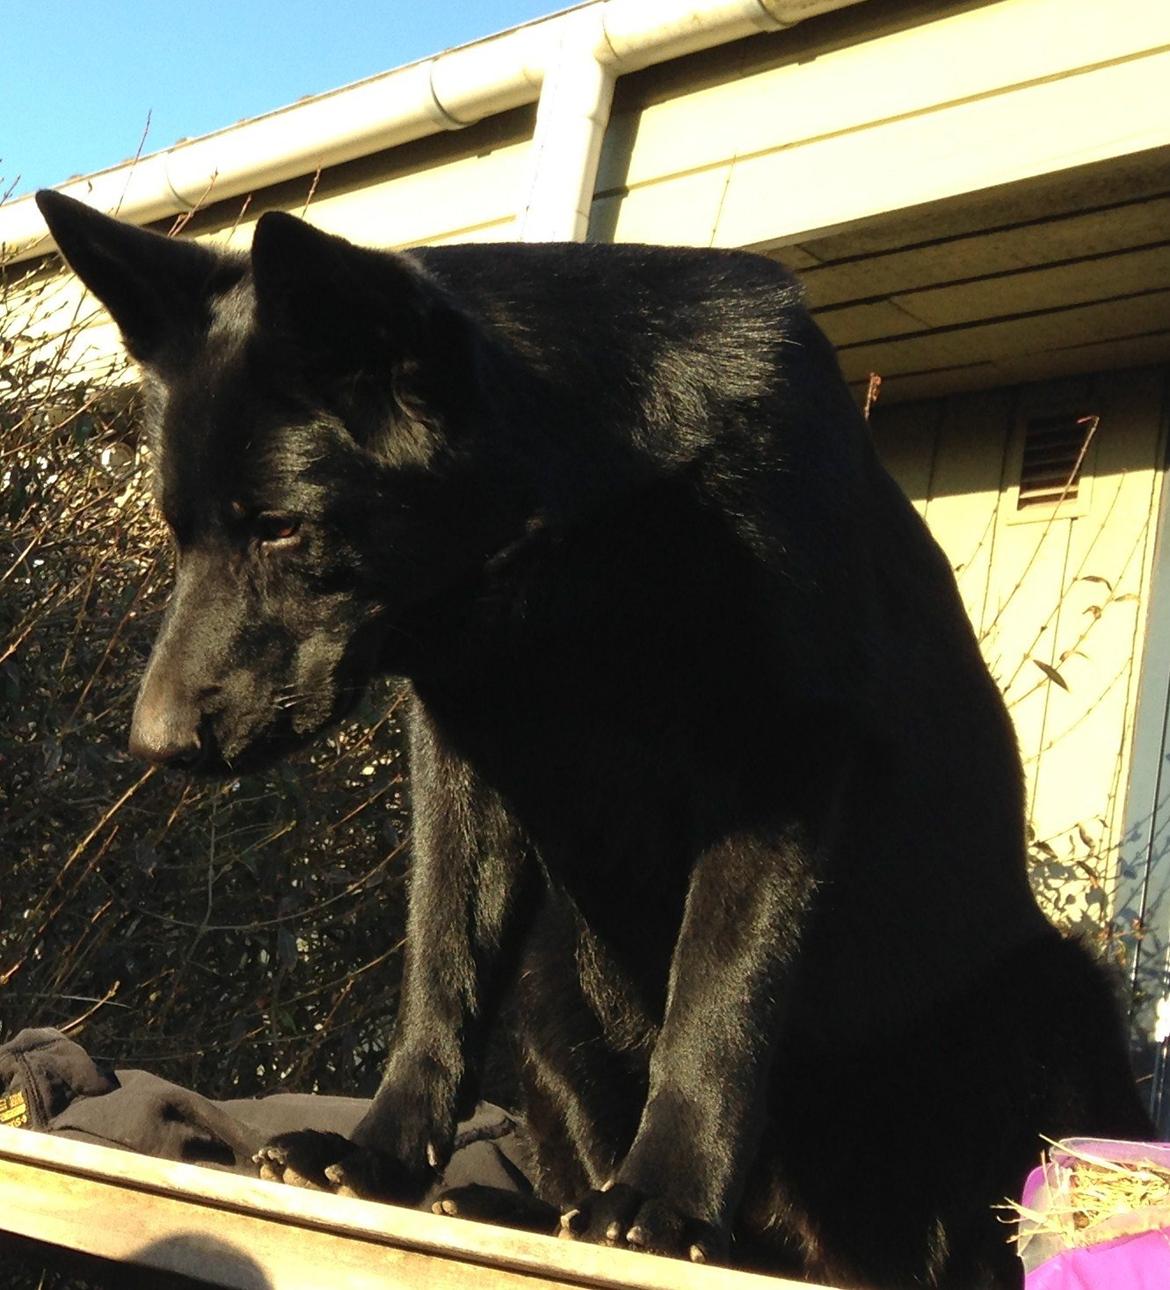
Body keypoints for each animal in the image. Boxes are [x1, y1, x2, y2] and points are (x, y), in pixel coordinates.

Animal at [38, 190, 1150, 1290]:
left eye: (279, 526)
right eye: (179, 530)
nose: (154, 746)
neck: (586, 549)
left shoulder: (779, 770)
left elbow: (717, 1003)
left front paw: (664, 1201)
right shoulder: (466, 773)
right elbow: (437, 974)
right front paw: (380, 1155)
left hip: (1055, 1002)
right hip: (548, 982)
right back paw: (514, 1203)